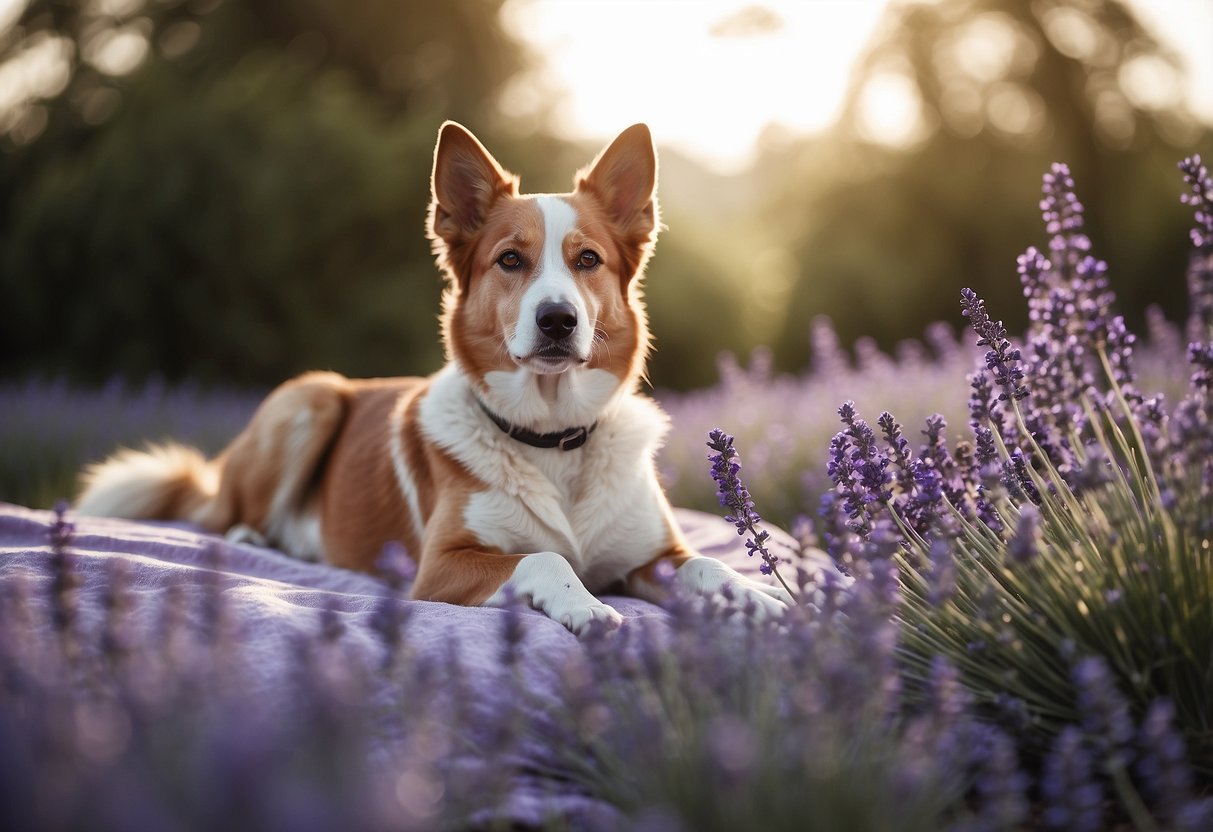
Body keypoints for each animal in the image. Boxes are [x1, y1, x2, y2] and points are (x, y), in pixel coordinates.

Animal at [78, 120, 795, 635]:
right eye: (510, 260)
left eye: (587, 260)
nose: (558, 319)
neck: (553, 436)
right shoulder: (440, 567)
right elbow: (546, 556)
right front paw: (585, 605)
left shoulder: (654, 558)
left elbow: (707, 563)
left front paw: (762, 596)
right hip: (310, 399)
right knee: (220, 514)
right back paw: (257, 534)